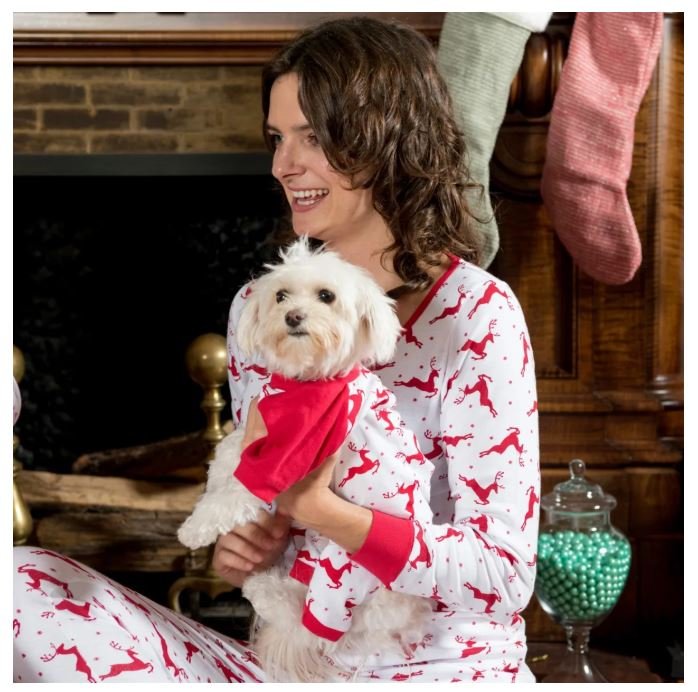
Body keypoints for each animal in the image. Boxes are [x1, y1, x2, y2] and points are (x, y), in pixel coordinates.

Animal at [178, 237, 434, 681]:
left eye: (326, 296)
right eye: (281, 296)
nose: (293, 316)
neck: (306, 380)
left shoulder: (296, 444)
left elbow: (240, 491)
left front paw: (194, 529)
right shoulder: (265, 422)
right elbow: (234, 447)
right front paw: (216, 470)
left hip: (342, 572)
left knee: (309, 626)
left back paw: (260, 589)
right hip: (316, 559)